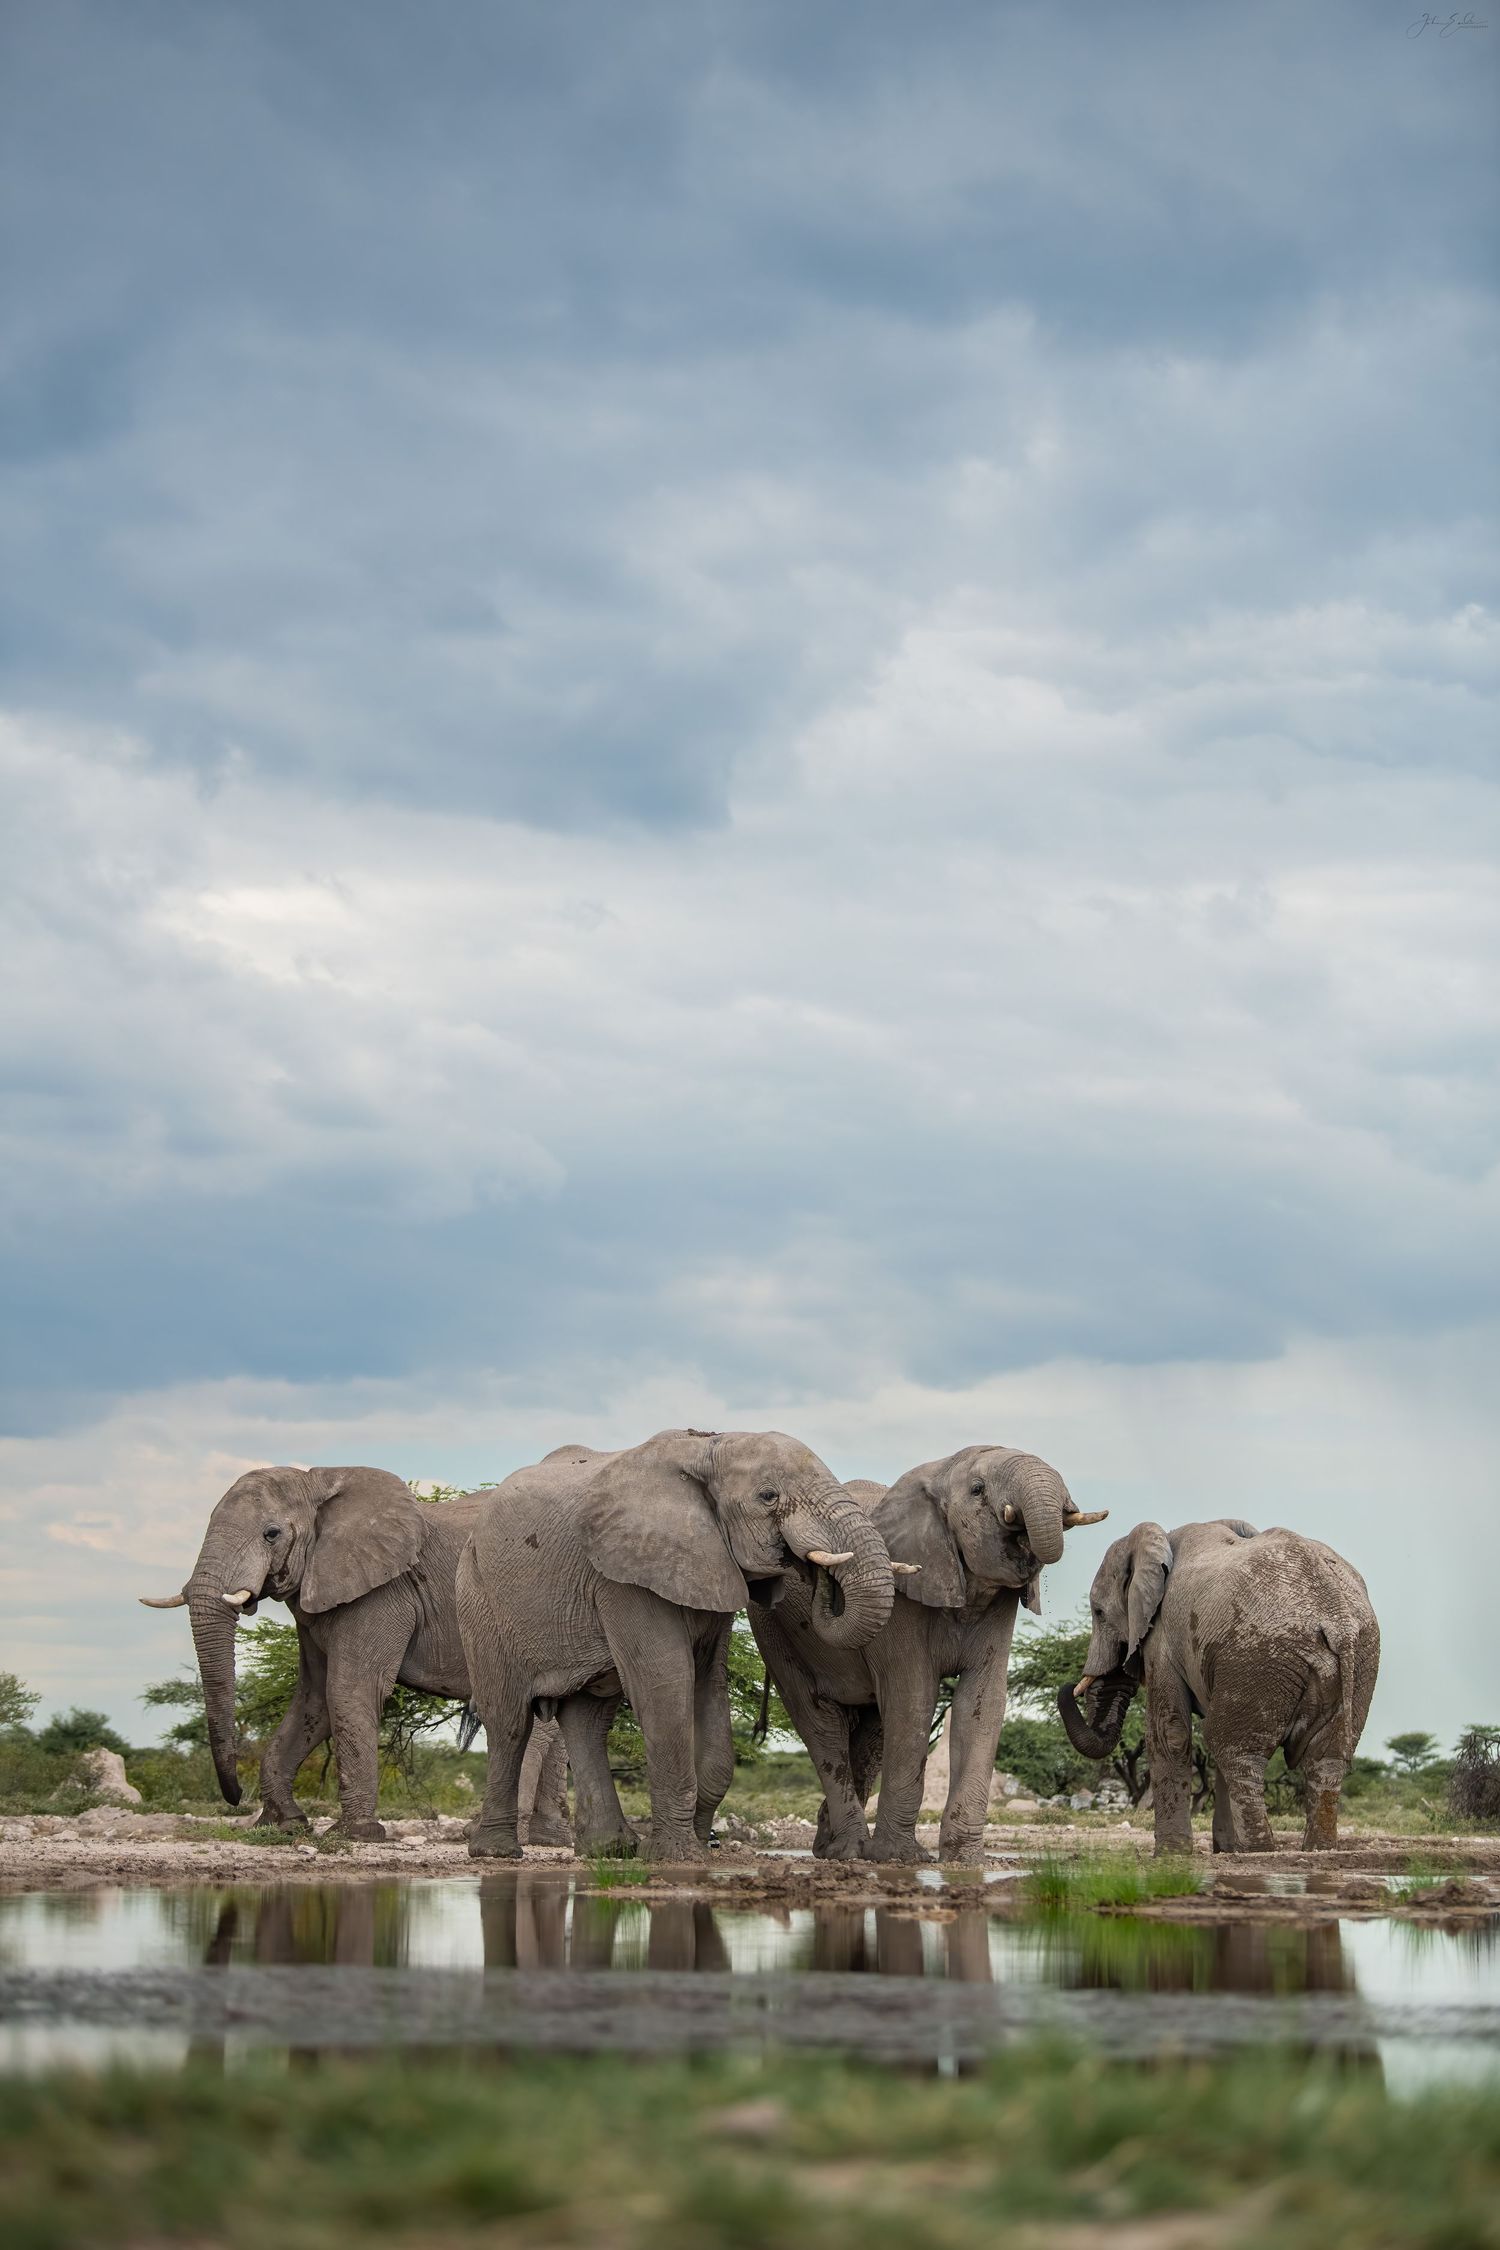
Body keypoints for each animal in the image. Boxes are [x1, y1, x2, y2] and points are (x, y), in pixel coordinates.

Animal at [140, 1465, 568, 1843]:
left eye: (271, 1533)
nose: (235, 1796)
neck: (320, 1483)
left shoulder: (383, 1593)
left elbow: (349, 1691)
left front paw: (355, 1834)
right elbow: (313, 1701)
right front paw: (285, 1825)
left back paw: (491, 1834)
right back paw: (548, 1839)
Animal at [456, 1429, 895, 1864]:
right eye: (768, 1496)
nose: (817, 1575)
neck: (706, 1448)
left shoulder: (709, 1566)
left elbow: (709, 1683)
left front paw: (693, 1842)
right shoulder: (625, 1574)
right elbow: (665, 1681)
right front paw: (676, 1854)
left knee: (588, 1720)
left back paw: (611, 1849)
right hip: (479, 1598)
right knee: (510, 1721)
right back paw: (497, 1851)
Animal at [749, 1446, 1108, 1865]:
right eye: (977, 1489)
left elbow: (982, 1702)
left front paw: (965, 1861)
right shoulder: (902, 1600)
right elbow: (913, 1699)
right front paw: (900, 1858)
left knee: (871, 1734)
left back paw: (831, 1848)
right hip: (772, 1628)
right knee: (821, 1724)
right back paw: (849, 1850)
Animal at [1057, 1519, 1380, 1855]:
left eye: (1098, 1612)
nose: (1068, 1685)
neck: (1160, 1541)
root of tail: (1336, 1617)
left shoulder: (1163, 1636)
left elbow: (1170, 1730)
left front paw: (1171, 1854)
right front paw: (1223, 1850)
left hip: (1257, 1653)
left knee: (1235, 1751)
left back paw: (1258, 1850)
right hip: (1361, 1658)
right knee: (1324, 1758)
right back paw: (1317, 1848)